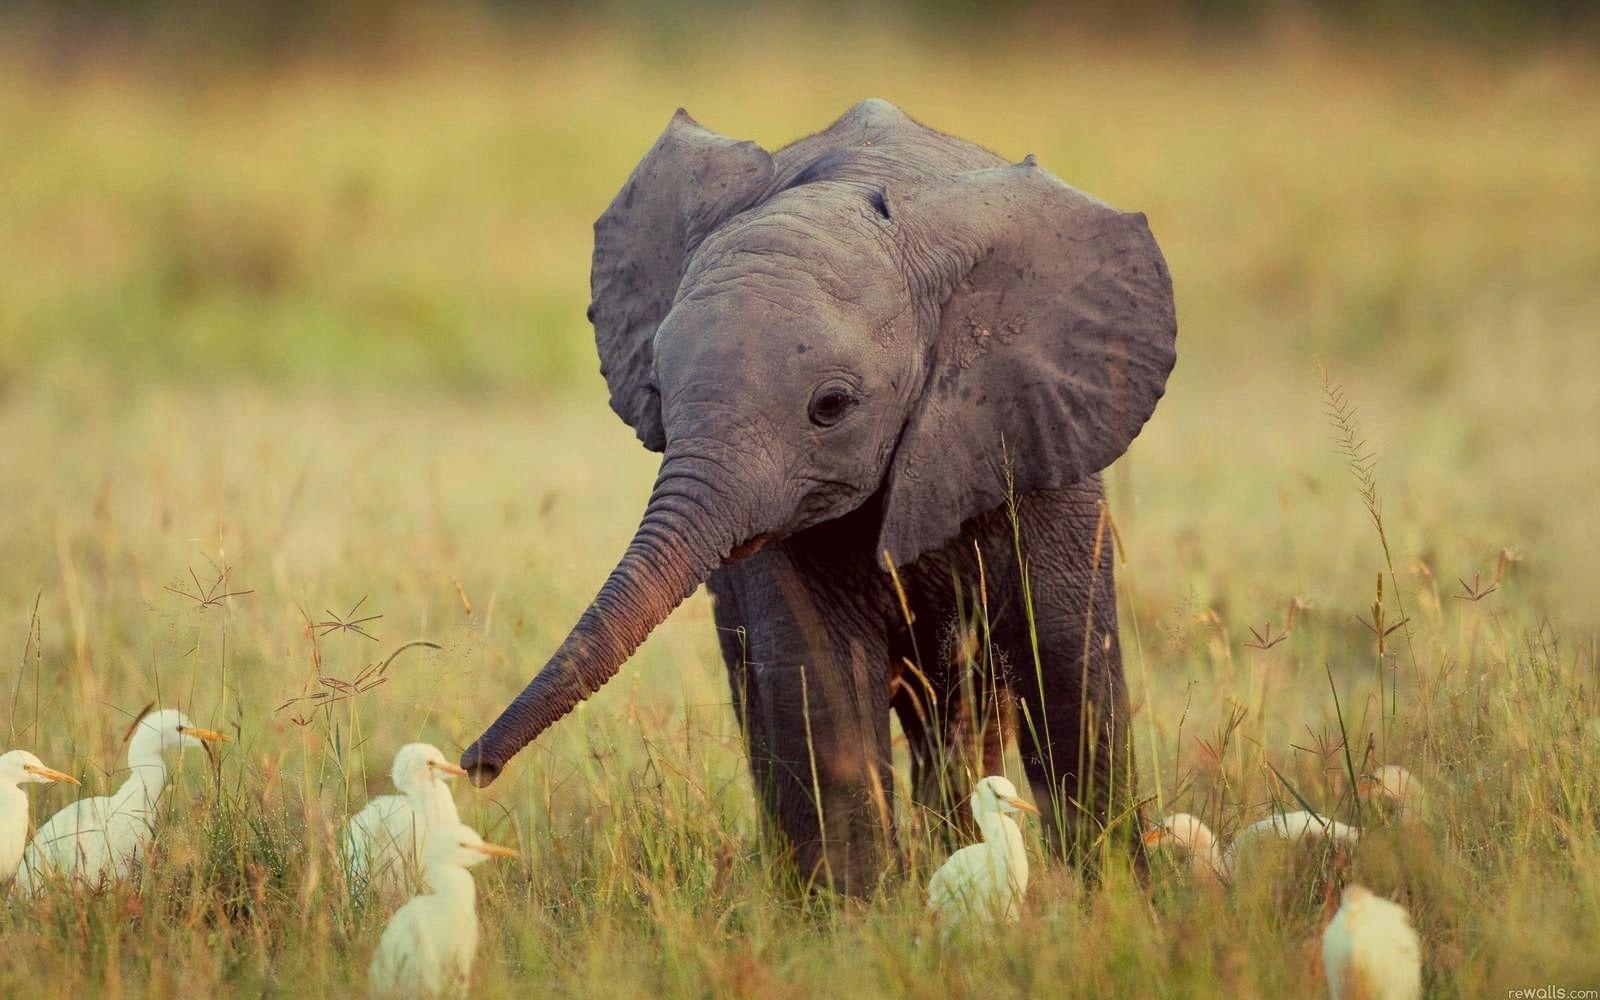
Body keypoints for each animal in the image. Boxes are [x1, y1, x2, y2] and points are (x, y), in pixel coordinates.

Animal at [462, 98, 1177, 894]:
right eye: (656, 392)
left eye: (830, 406)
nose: (474, 768)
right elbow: (818, 680)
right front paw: (854, 916)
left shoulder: (1038, 431)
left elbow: (1068, 665)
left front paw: (1118, 897)